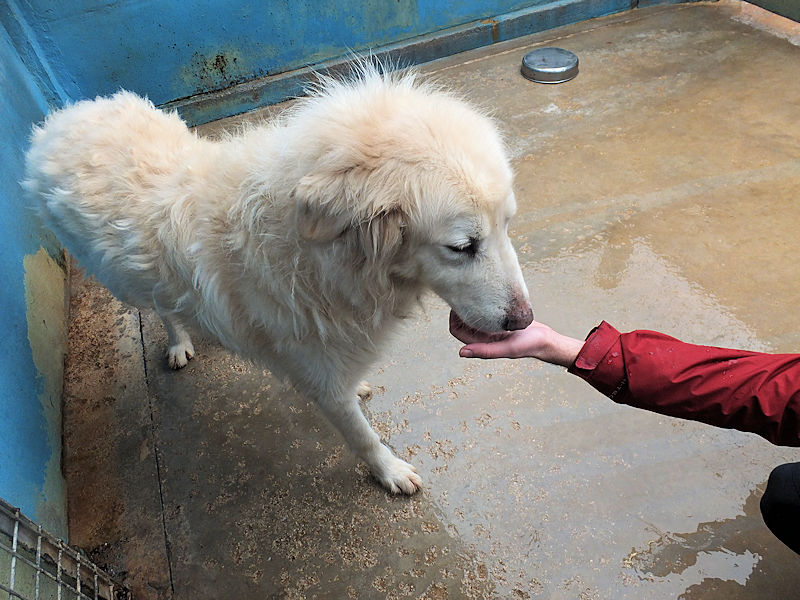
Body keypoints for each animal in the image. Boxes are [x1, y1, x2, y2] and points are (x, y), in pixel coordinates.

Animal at [24, 64, 533, 494]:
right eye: (462, 247)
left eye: (507, 224)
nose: (525, 321)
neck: (321, 258)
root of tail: (60, 121)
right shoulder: (320, 375)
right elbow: (361, 435)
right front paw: (388, 471)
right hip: (121, 282)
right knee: (160, 307)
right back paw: (178, 341)